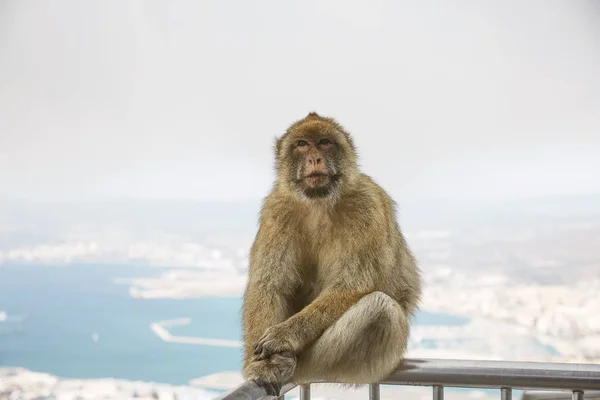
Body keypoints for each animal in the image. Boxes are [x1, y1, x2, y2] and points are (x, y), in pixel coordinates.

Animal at [240, 112, 422, 396]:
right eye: (302, 144)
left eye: (325, 142)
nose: (315, 158)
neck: (318, 202)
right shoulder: (275, 209)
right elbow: (269, 284)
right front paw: (261, 366)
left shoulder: (367, 206)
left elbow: (351, 285)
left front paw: (283, 336)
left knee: (382, 311)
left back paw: (292, 363)